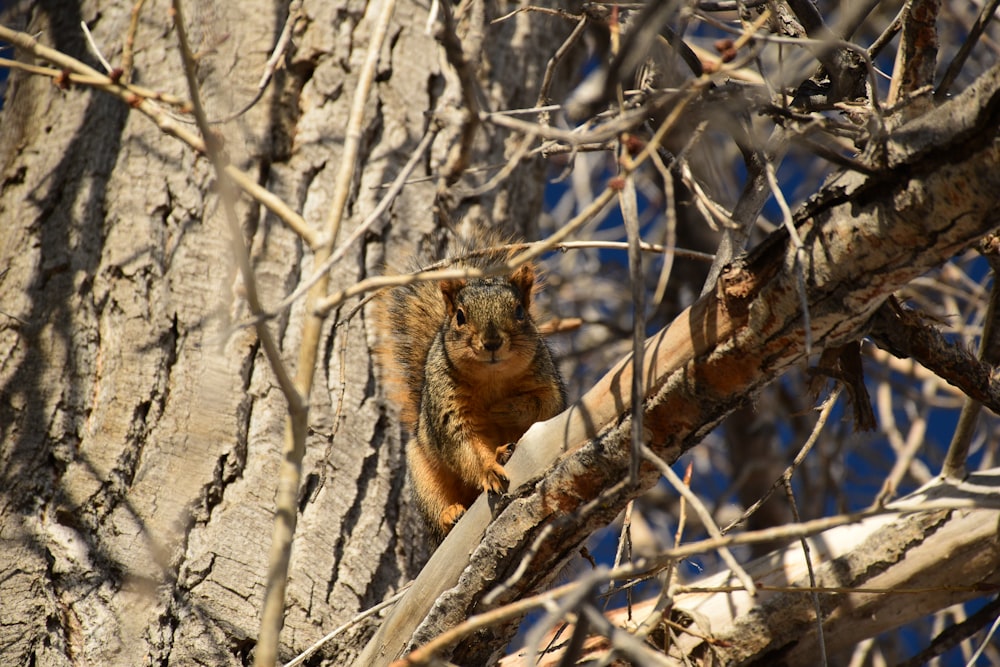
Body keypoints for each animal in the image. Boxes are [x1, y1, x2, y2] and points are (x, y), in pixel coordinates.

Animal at [376, 235, 568, 536]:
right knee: (436, 511)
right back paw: (450, 513)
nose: (491, 342)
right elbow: (463, 444)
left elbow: (544, 405)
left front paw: (504, 408)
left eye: (520, 311)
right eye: (460, 316)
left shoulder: (547, 383)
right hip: (421, 474)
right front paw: (489, 469)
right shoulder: (448, 406)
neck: (492, 377)